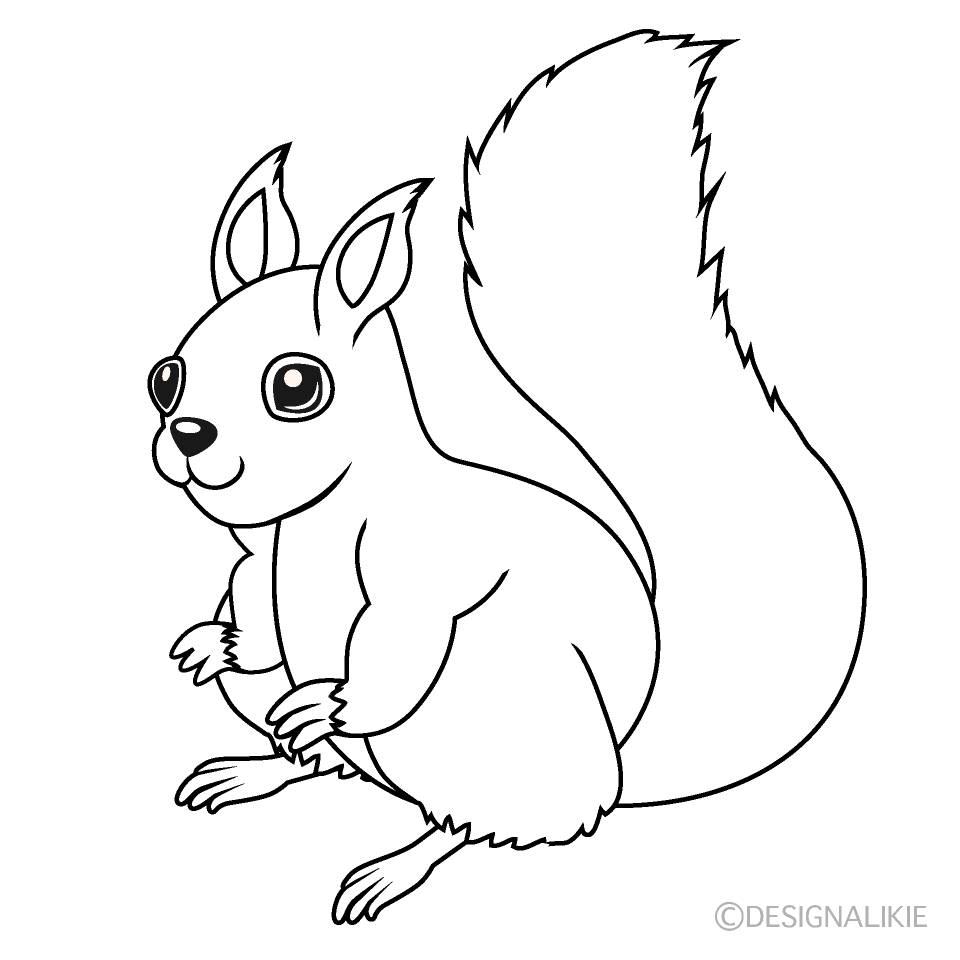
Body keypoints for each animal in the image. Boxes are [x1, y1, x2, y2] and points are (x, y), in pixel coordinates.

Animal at [149, 30, 865, 924]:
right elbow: (250, 598)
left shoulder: (418, 566)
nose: (189, 436)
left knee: (461, 823)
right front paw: (218, 644)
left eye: (296, 387)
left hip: (486, 720)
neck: (314, 519)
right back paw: (254, 768)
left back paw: (390, 860)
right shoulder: (258, 560)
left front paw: (333, 700)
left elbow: (399, 648)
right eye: (164, 378)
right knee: (326, 765)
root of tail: (616, 768)